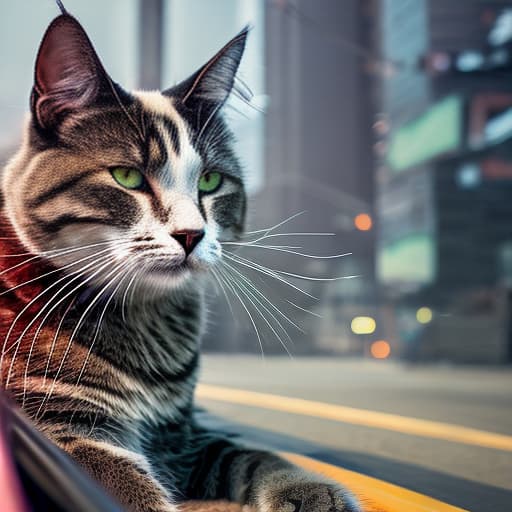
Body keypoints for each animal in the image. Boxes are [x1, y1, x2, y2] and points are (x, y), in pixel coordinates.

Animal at [0, 7, 360, 512]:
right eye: (127, 176)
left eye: (210, 180)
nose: (192, 234)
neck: (143, 317)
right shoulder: (63, 427)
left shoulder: (180, 435)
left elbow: (246, 453)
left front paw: (309, 491)